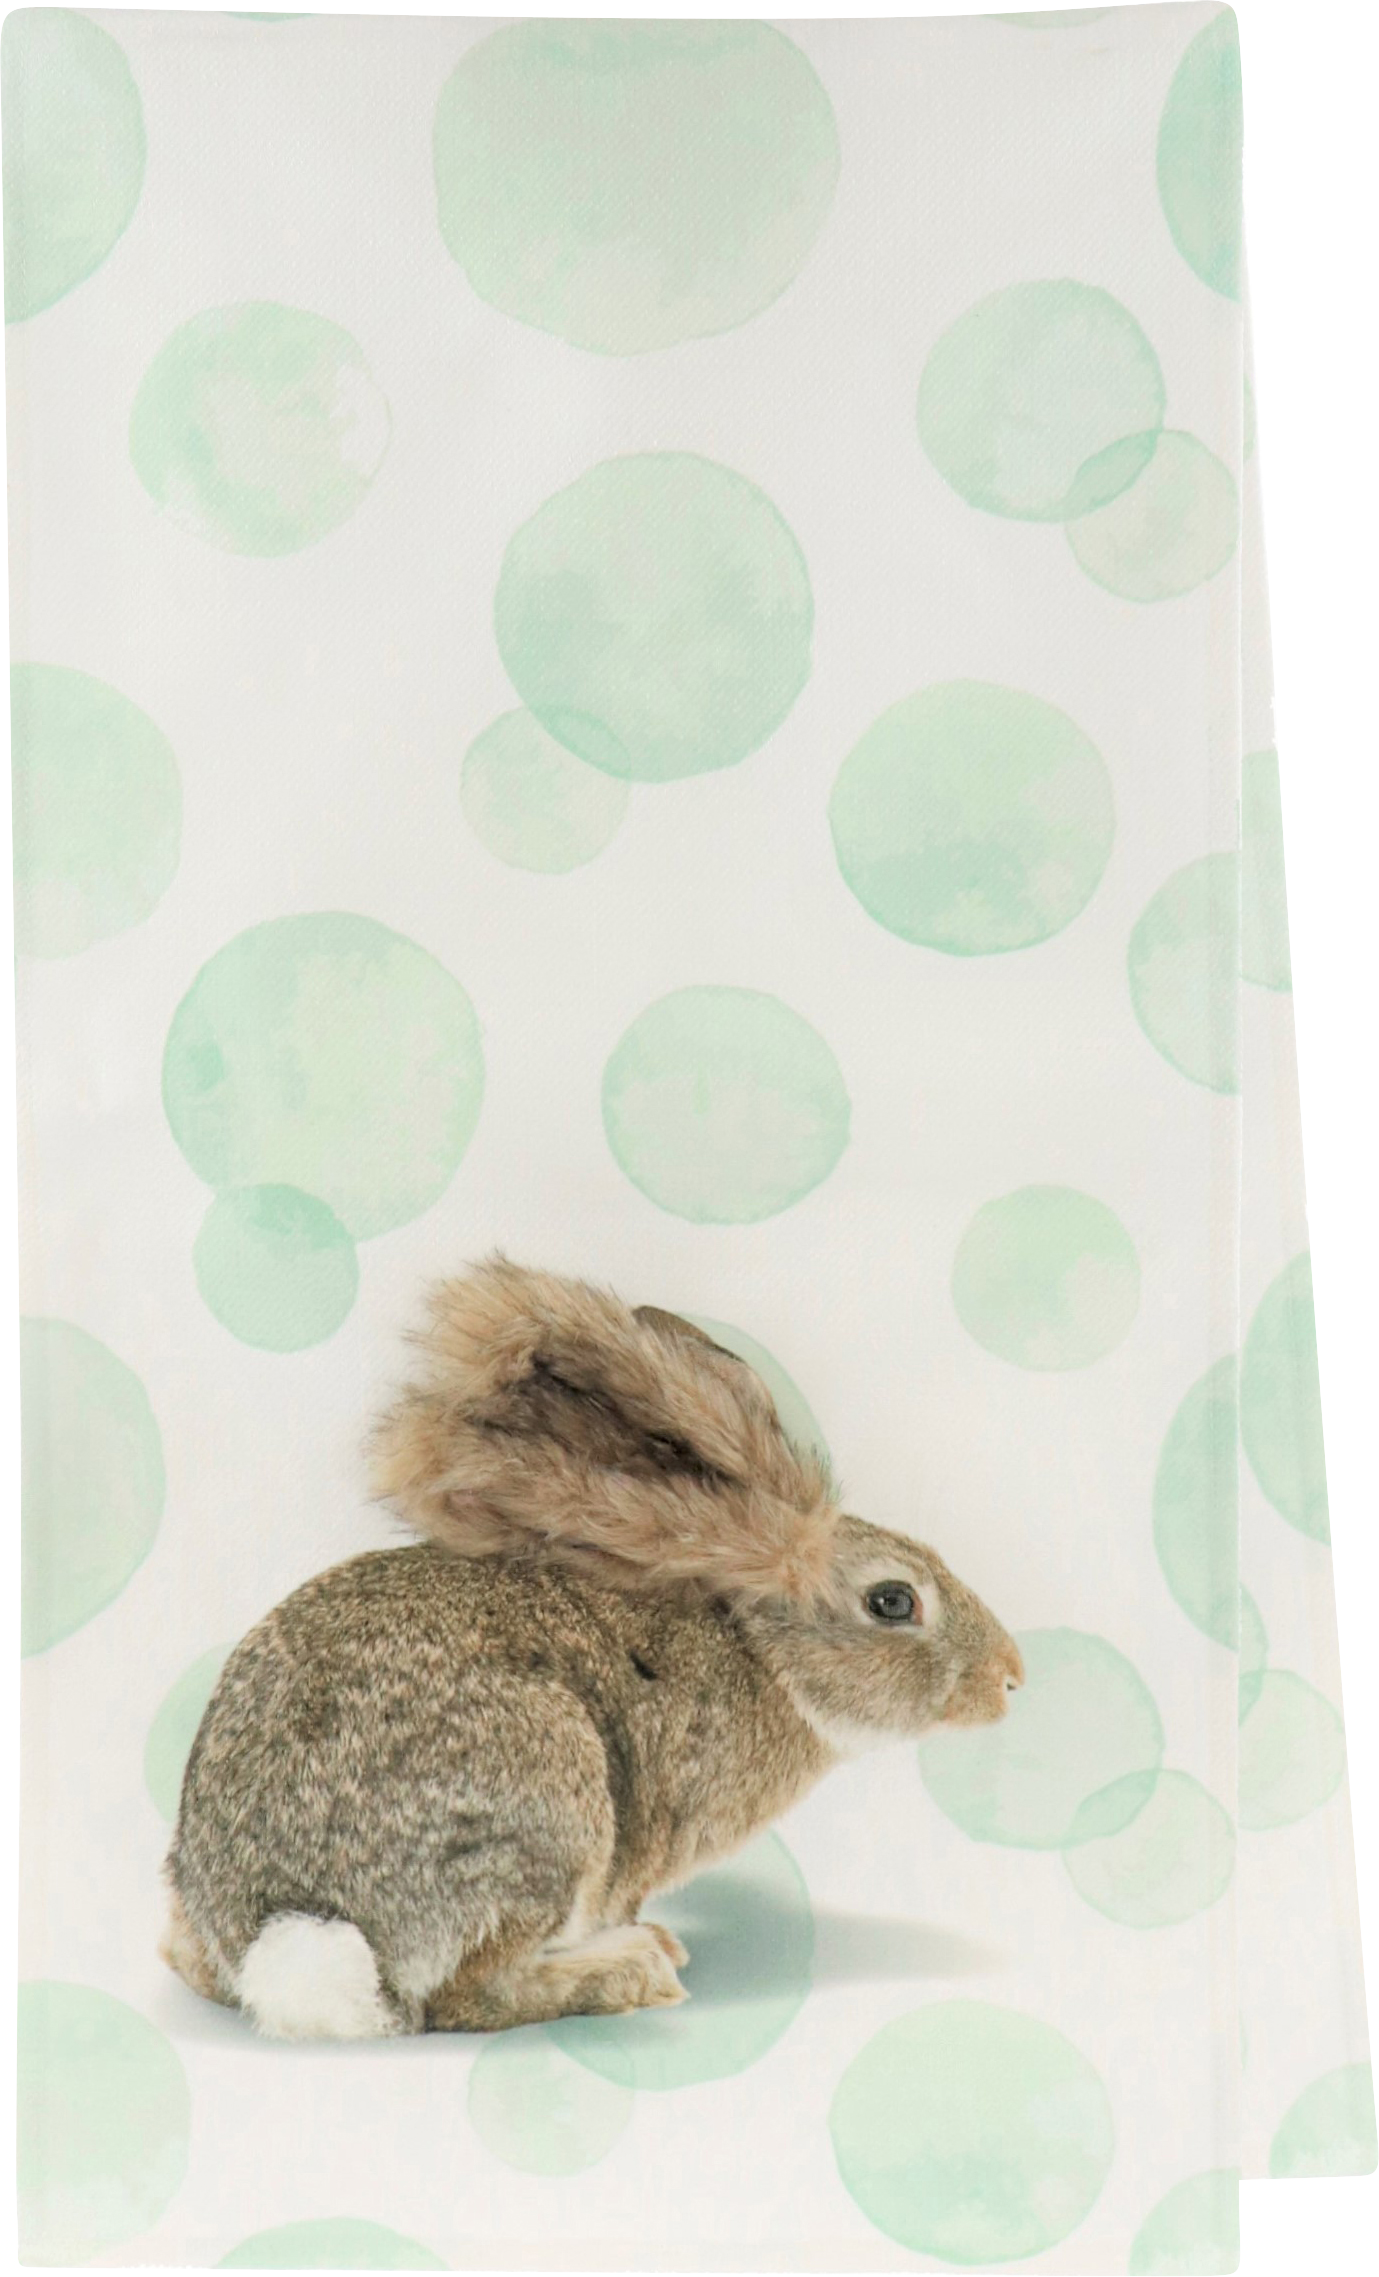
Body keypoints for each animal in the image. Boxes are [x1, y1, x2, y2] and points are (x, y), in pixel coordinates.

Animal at [160, 1257, 1023, 2039]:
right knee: (464, 1998)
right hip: (548, 1809)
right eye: (892, 1600)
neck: (763, 1658)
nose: (1009, 1676)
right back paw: (630, 1969)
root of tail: (288, 1926)